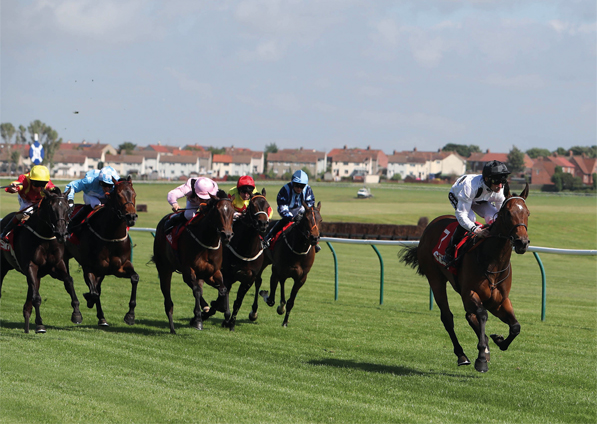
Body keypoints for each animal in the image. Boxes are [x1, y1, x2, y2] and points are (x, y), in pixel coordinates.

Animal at [0, 190, 82, 334]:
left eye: (67, 208)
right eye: (51, 208)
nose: (62, 233)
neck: (45, 239)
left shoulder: (57, 265)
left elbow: (69, 282)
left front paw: (76, 314)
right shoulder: (31, 267)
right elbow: (37, 298)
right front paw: (40, 325)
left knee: (28, 303)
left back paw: (27, 327)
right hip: (3, 266)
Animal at [65, 177, 139, 326]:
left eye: (134, 194)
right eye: (118, 195)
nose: (131, 217)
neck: (111, 236)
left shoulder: (120, 267)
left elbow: (135, 278)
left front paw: (130, 315)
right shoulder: (89, 267)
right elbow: (94, 292)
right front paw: (88, 300)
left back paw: (101, 317)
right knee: (69, 281)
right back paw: (77, 313)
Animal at [152, 192, 234, 334]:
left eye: (233, 211)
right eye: (217, 211)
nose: (227, 235)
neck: (207, 242)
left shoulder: (213, 272)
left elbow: (224, 289)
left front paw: (225, 313)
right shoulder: (188, 269)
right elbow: (196, 291)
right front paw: (198, 320)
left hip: (203, 276)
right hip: (164, 269)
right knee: (169, 300)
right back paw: (173, 328)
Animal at [205, 190, 270, 332]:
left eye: (267, 206)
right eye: (252, 205)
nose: (263, 223)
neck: (246, 251)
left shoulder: (248, 280)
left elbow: (237, 302)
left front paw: (231, 323)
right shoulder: (228, 276)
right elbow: (225, 298)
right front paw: (225, 318)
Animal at [398, 182, 528, 372]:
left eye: (528, 213)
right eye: (508, 213)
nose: (522, 242)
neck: (493, 262)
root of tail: (433, 223)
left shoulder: (499, 301)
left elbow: (515, 327)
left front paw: (497, 340)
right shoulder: (470, 293)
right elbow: (482, 315)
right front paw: (481, 358)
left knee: (469, 316)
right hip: (435, 278)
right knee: (448, 317)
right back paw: (462, 355)